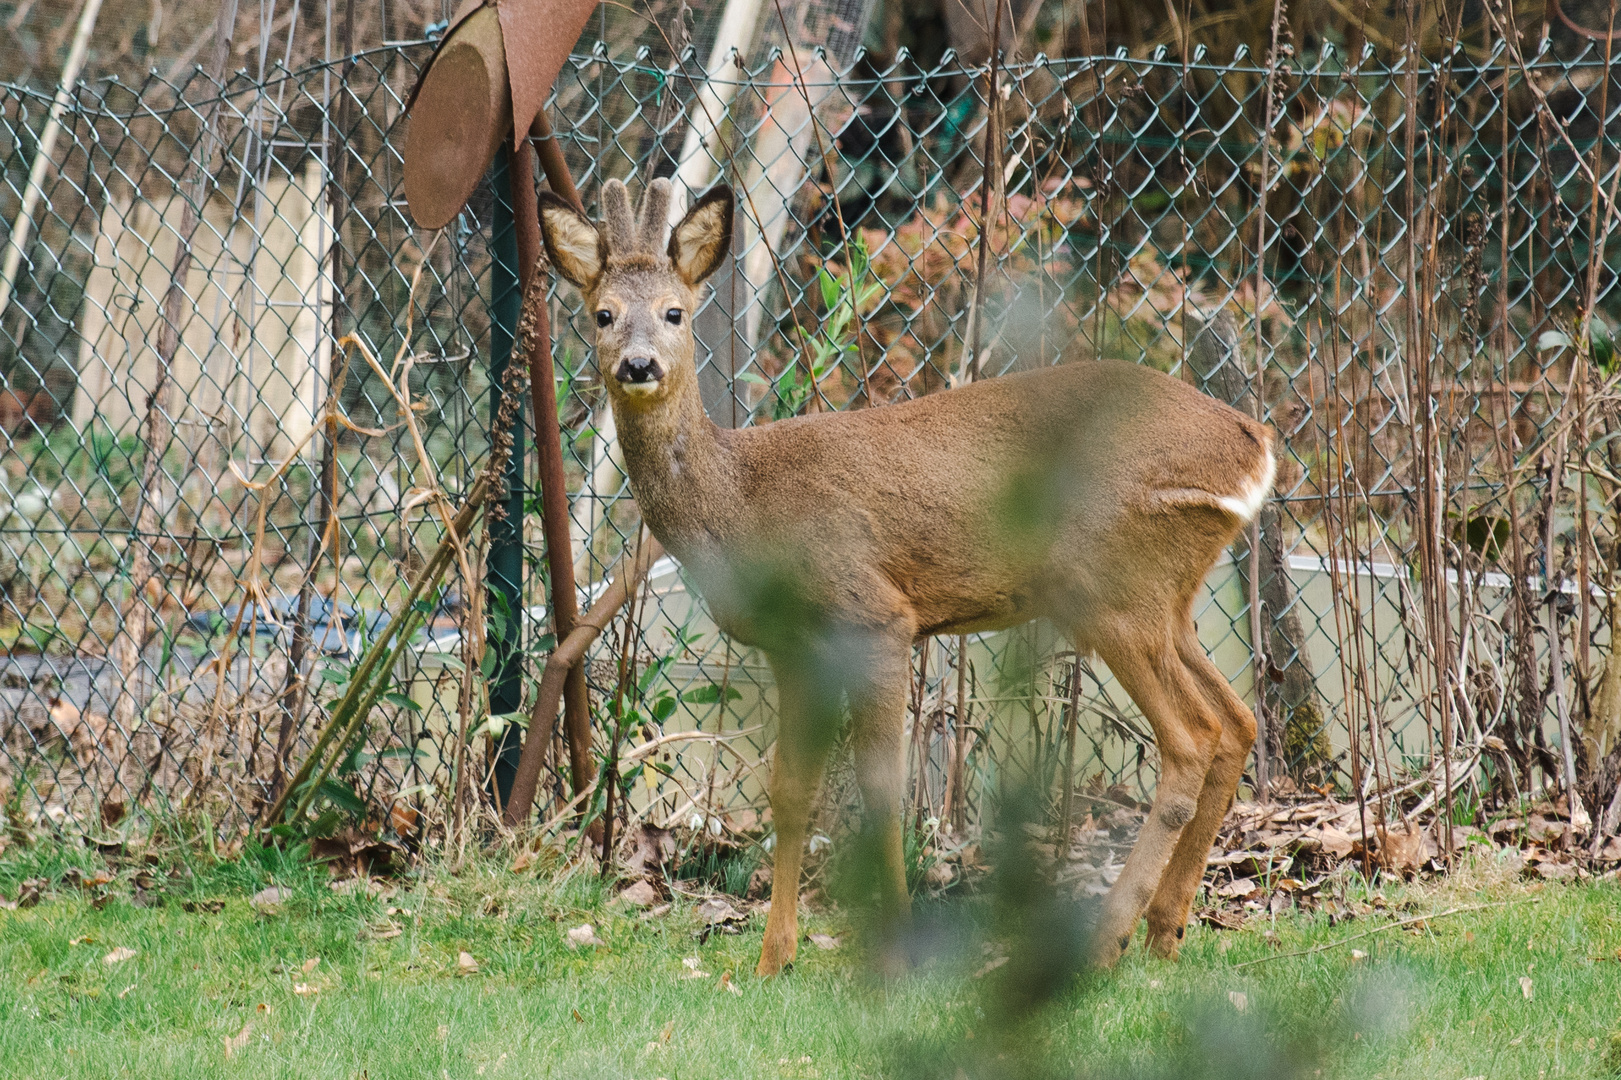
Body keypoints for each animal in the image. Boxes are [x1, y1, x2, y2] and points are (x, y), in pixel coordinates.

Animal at [538, 174, 1270, 966]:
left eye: (675, 312)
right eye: (602, 314)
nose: (638, 365)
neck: (741, 502)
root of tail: (1252, 445)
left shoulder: (875, 616)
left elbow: (881, 790)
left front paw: (892, 945)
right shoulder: (794, 648)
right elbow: (789, 793)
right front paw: (773, 958)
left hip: (1113, 586)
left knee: (1191, 739)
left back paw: (1109, 939)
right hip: (1167, 598)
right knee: (1237, 719)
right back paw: (1164, 931)